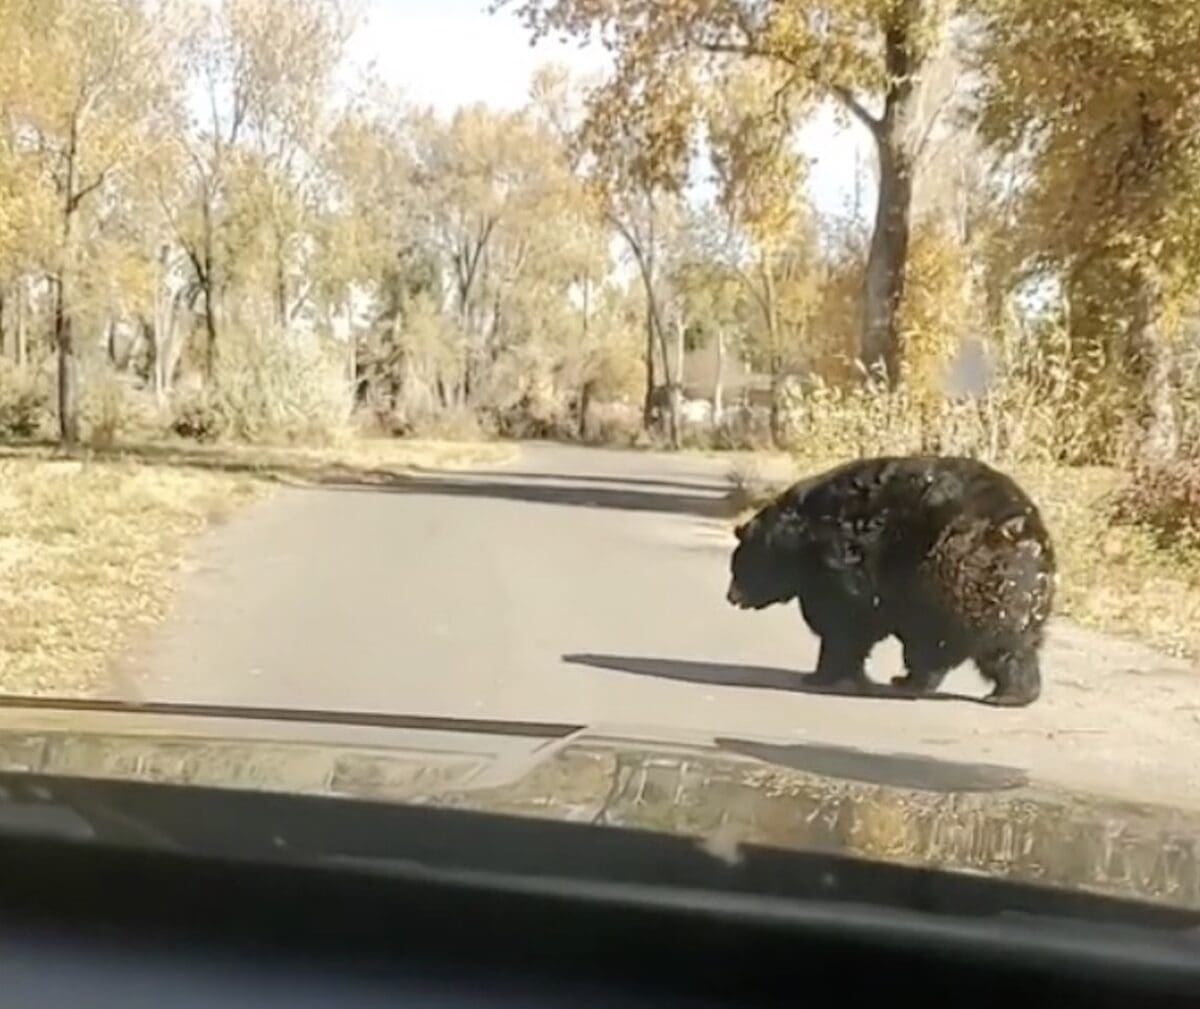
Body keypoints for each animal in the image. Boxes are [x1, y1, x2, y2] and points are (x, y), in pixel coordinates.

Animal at [725, 455, 1055, 706]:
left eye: (738, 568)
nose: (731, 597)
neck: (797, 541)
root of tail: (1028, 534)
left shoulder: (840, 565)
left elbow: (843, 624)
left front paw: (823, 674)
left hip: (954, 575)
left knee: (976, 642)